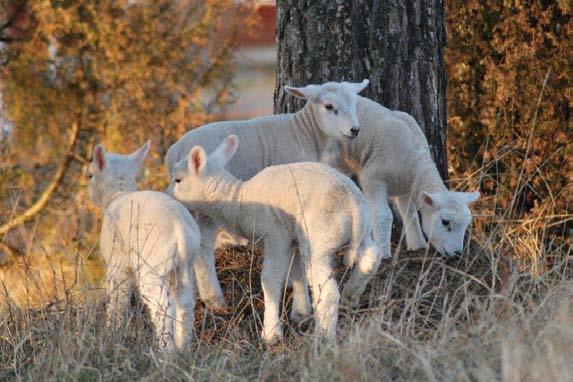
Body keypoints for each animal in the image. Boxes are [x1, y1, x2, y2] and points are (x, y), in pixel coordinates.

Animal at [86, 140, 200, 352]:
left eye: (90, 175)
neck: (118, 195)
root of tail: (178, 227)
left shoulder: (117, 262)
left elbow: (117, 299)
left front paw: (110, 333)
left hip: (153, 264)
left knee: (163, 305)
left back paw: (165, 350)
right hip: (185, 265)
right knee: (186, 303)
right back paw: (183, 348)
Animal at [168, 135, 378, 344]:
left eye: (178, 179)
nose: (169, 198)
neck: (239, 201)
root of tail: (353, 204)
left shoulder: (276, 236)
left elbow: (270, 280)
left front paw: (271, 333)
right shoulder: (294, 237)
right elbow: (297, 273)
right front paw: (301, 313)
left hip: (321, 238)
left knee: (328, 292)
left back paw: (322, 337)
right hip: (360, 232)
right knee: (371, 260)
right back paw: (351, 295)